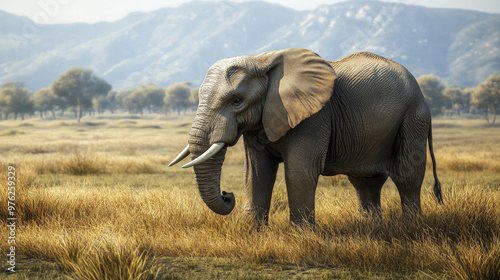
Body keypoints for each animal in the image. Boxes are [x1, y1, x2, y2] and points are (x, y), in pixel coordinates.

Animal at [170, 47, 444, 224]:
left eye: (237, 101)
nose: (227, 195)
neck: (262, 60)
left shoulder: (313, 117)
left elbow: (299, 171)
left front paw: (300, 235)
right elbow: (256, 171)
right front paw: (250, 231)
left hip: (413, 117)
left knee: (407, 175)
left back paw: (410, 228)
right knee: (365, 180)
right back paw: (370, 227)